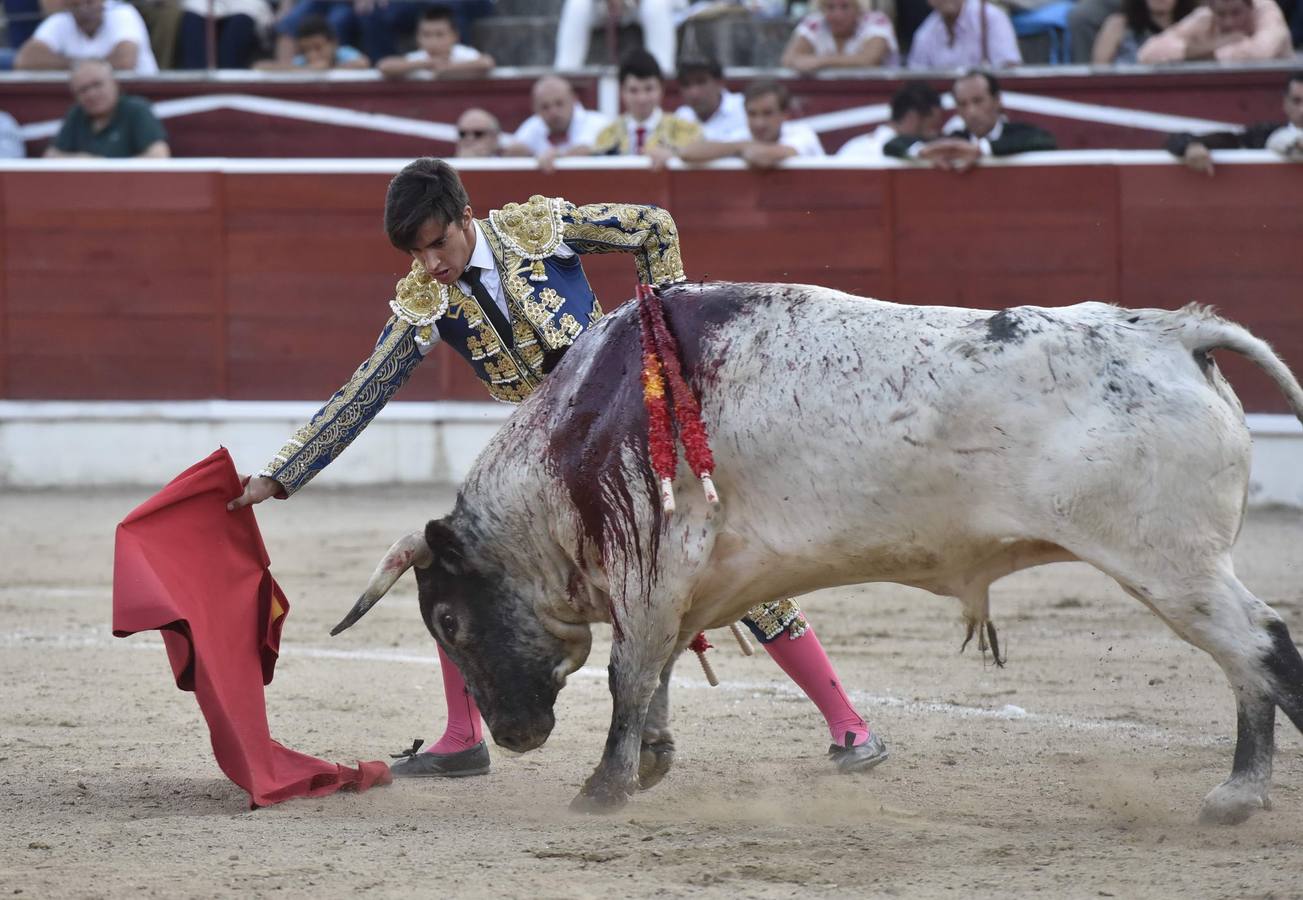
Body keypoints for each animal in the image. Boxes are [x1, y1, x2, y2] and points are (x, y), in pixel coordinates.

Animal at [330, 285, 1303, 828]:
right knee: (1254, 655)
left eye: (449, 619)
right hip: (1181, 565)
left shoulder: (652, 565)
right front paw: (650, 763)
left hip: (1168, 563)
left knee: (1259, 646)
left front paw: (601, 789)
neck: (581, 434)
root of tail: (1174, 335)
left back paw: (1237, 796)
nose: (515, 736)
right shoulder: (683, 582)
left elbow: (627, 675)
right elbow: (660, 669)